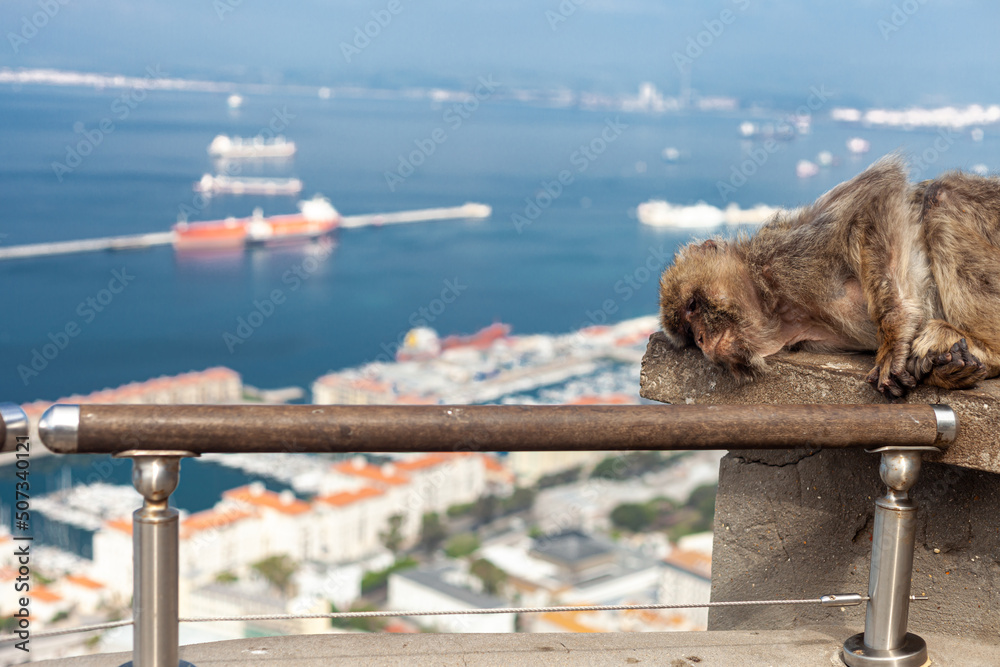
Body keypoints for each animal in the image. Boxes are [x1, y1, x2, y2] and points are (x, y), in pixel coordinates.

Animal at [658, 154, 1000, 398]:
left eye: (692, 307)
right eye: (688, 332)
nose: (701, 340)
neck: (778, 309)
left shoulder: (787, 255)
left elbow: (878, 194)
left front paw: (894, 340)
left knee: (943, 195)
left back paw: (985, 351)